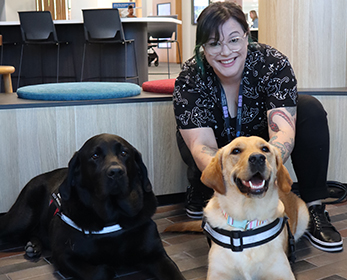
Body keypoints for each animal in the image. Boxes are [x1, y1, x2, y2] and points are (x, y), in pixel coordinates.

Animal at [0, 133, 185, 280]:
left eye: (124, 153)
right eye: (95, 156)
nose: (116, 172)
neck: (113, 217)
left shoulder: (157, 256)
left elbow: (175, 273)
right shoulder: (64, 256)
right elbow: (102, 271)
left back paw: (33, 246)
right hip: (19, 220)